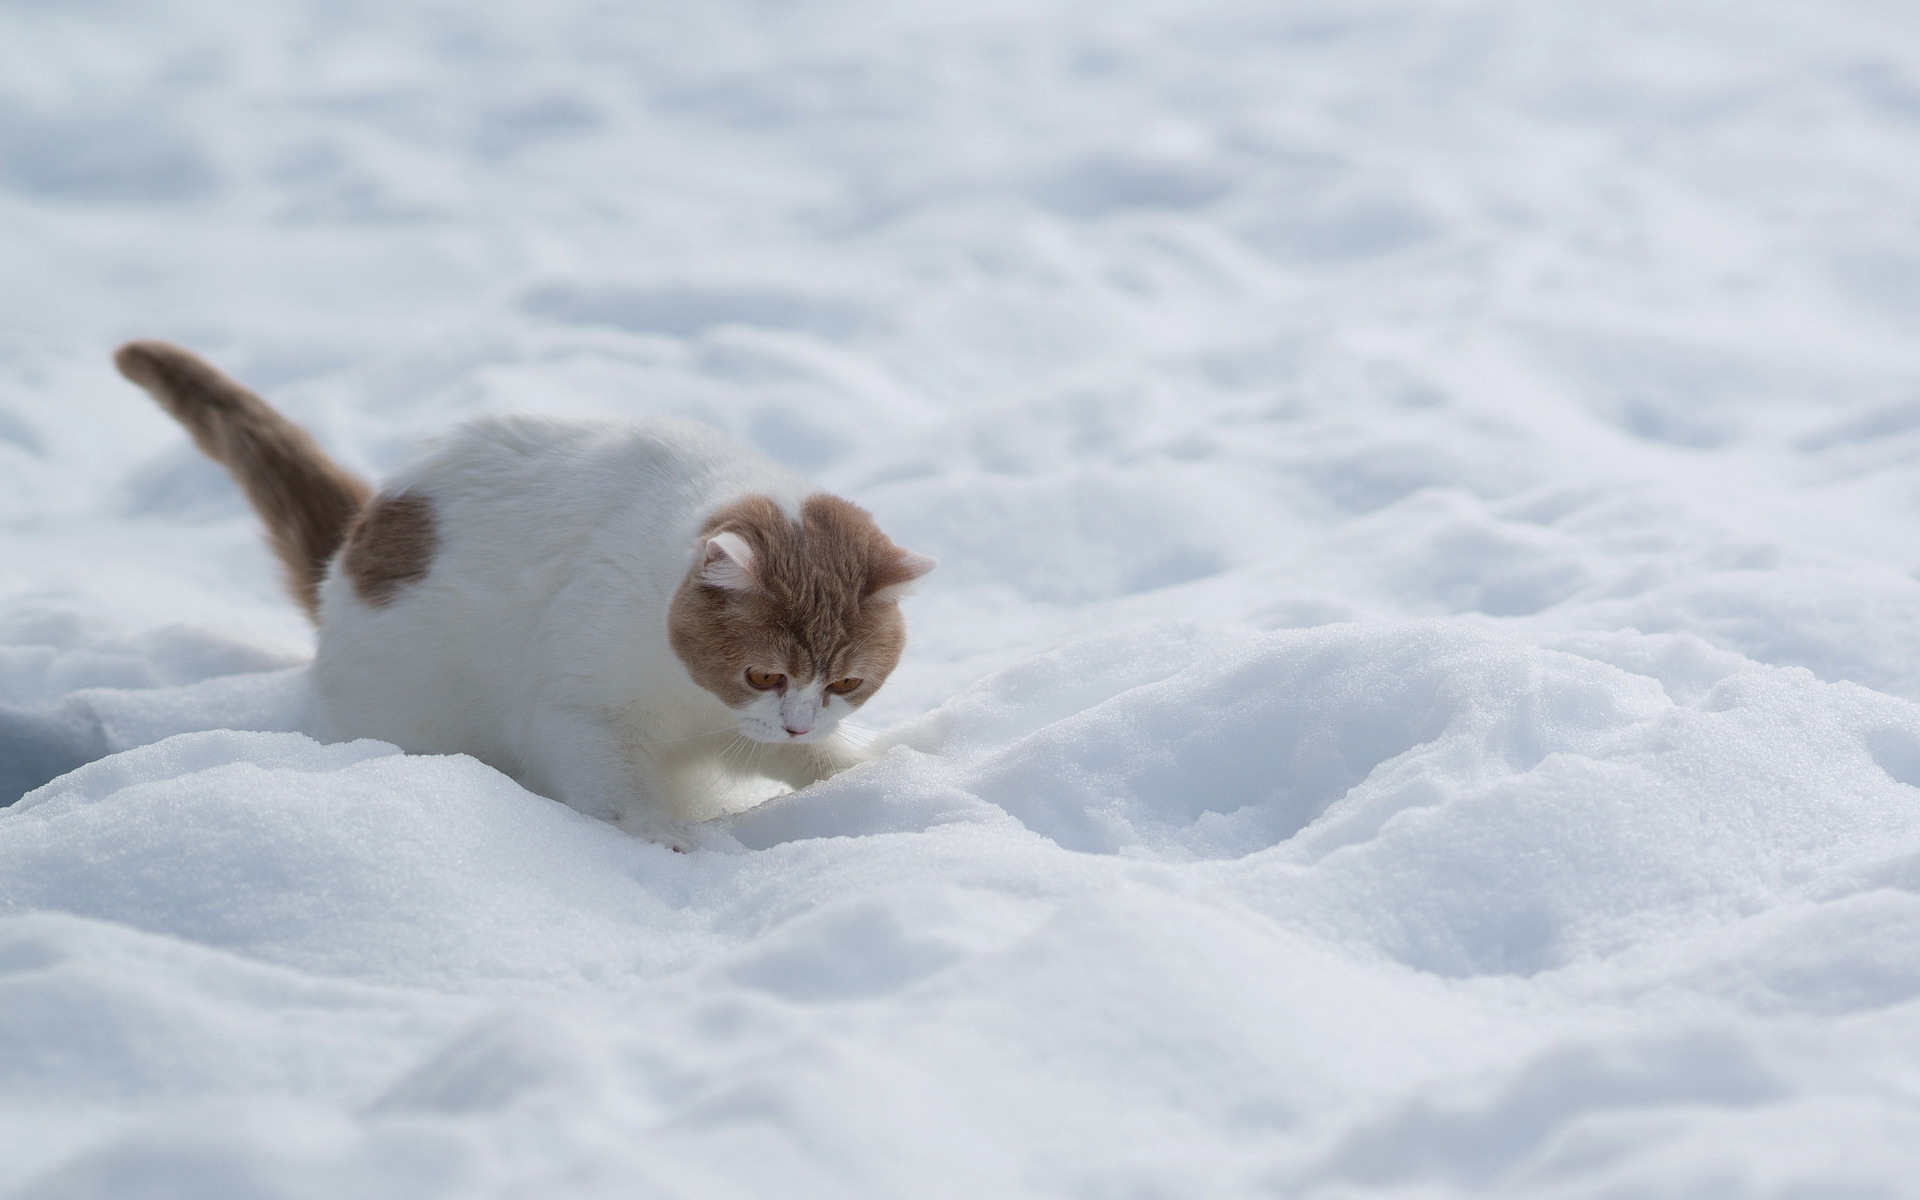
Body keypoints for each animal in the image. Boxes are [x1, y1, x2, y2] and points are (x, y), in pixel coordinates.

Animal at [112, 337, 936, 848]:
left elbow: (827, 764)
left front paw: (891, 773)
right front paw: (662, 832)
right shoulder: (580, 706)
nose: (795, 724)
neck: (699, 705)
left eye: (847, 682)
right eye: (762, 674)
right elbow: (610, 781)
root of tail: (355, 538)